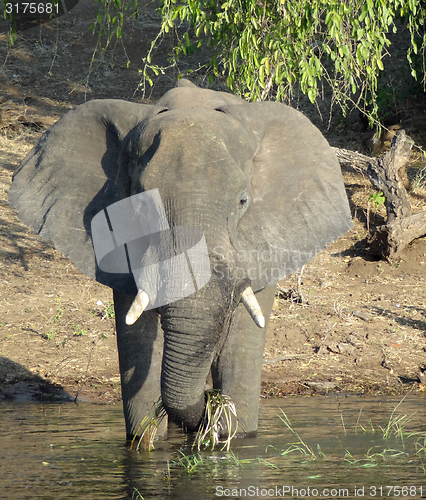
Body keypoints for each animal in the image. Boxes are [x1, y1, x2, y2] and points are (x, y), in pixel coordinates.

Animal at [8, 79, 352, 442]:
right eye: (141, 204)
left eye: (243, 201)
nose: (209, 401)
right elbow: (137, 340)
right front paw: (149, 439)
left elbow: (240, 348)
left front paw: (232, 432)